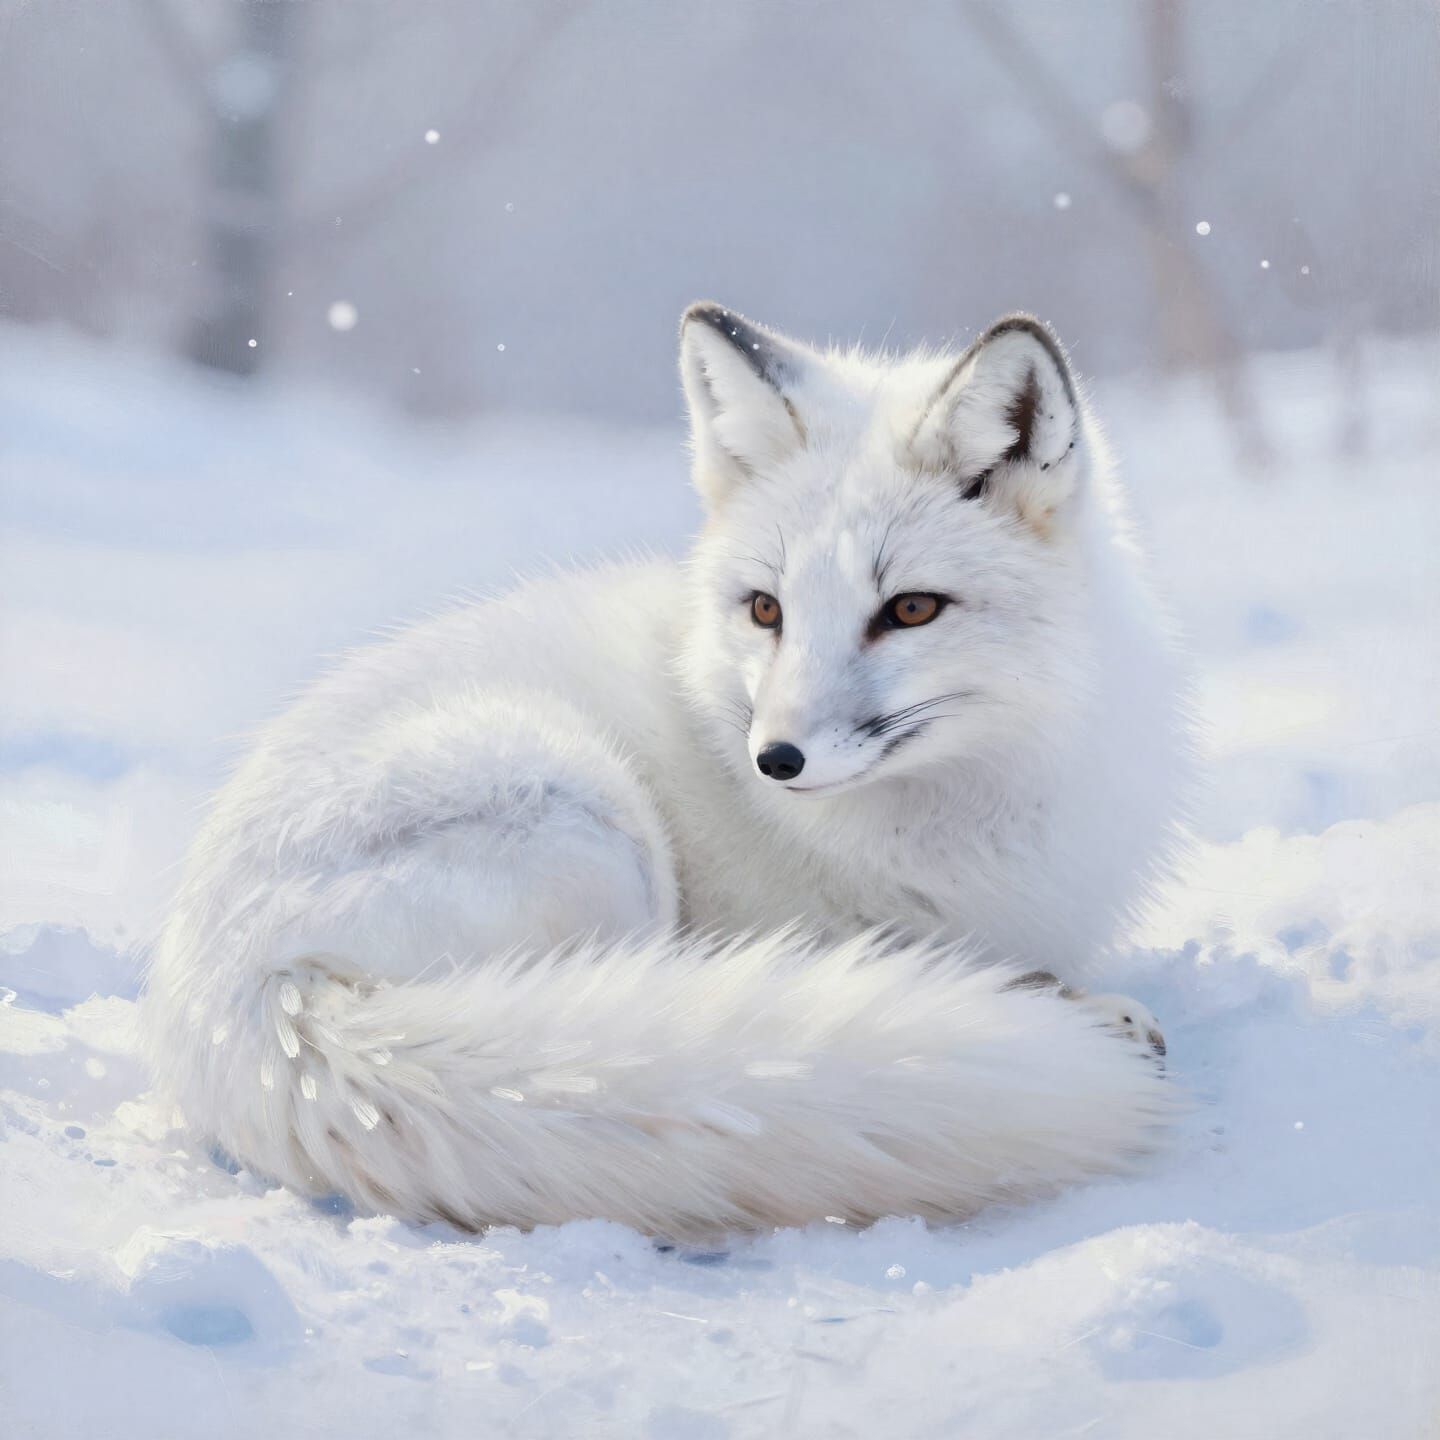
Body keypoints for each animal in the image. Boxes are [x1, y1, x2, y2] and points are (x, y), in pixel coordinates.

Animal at [144, 304, 1190, 1238]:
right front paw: (1068, 1006)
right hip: (594, 825)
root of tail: (247, 1008)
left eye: (911, 609)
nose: (775, 761)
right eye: (766, 609)